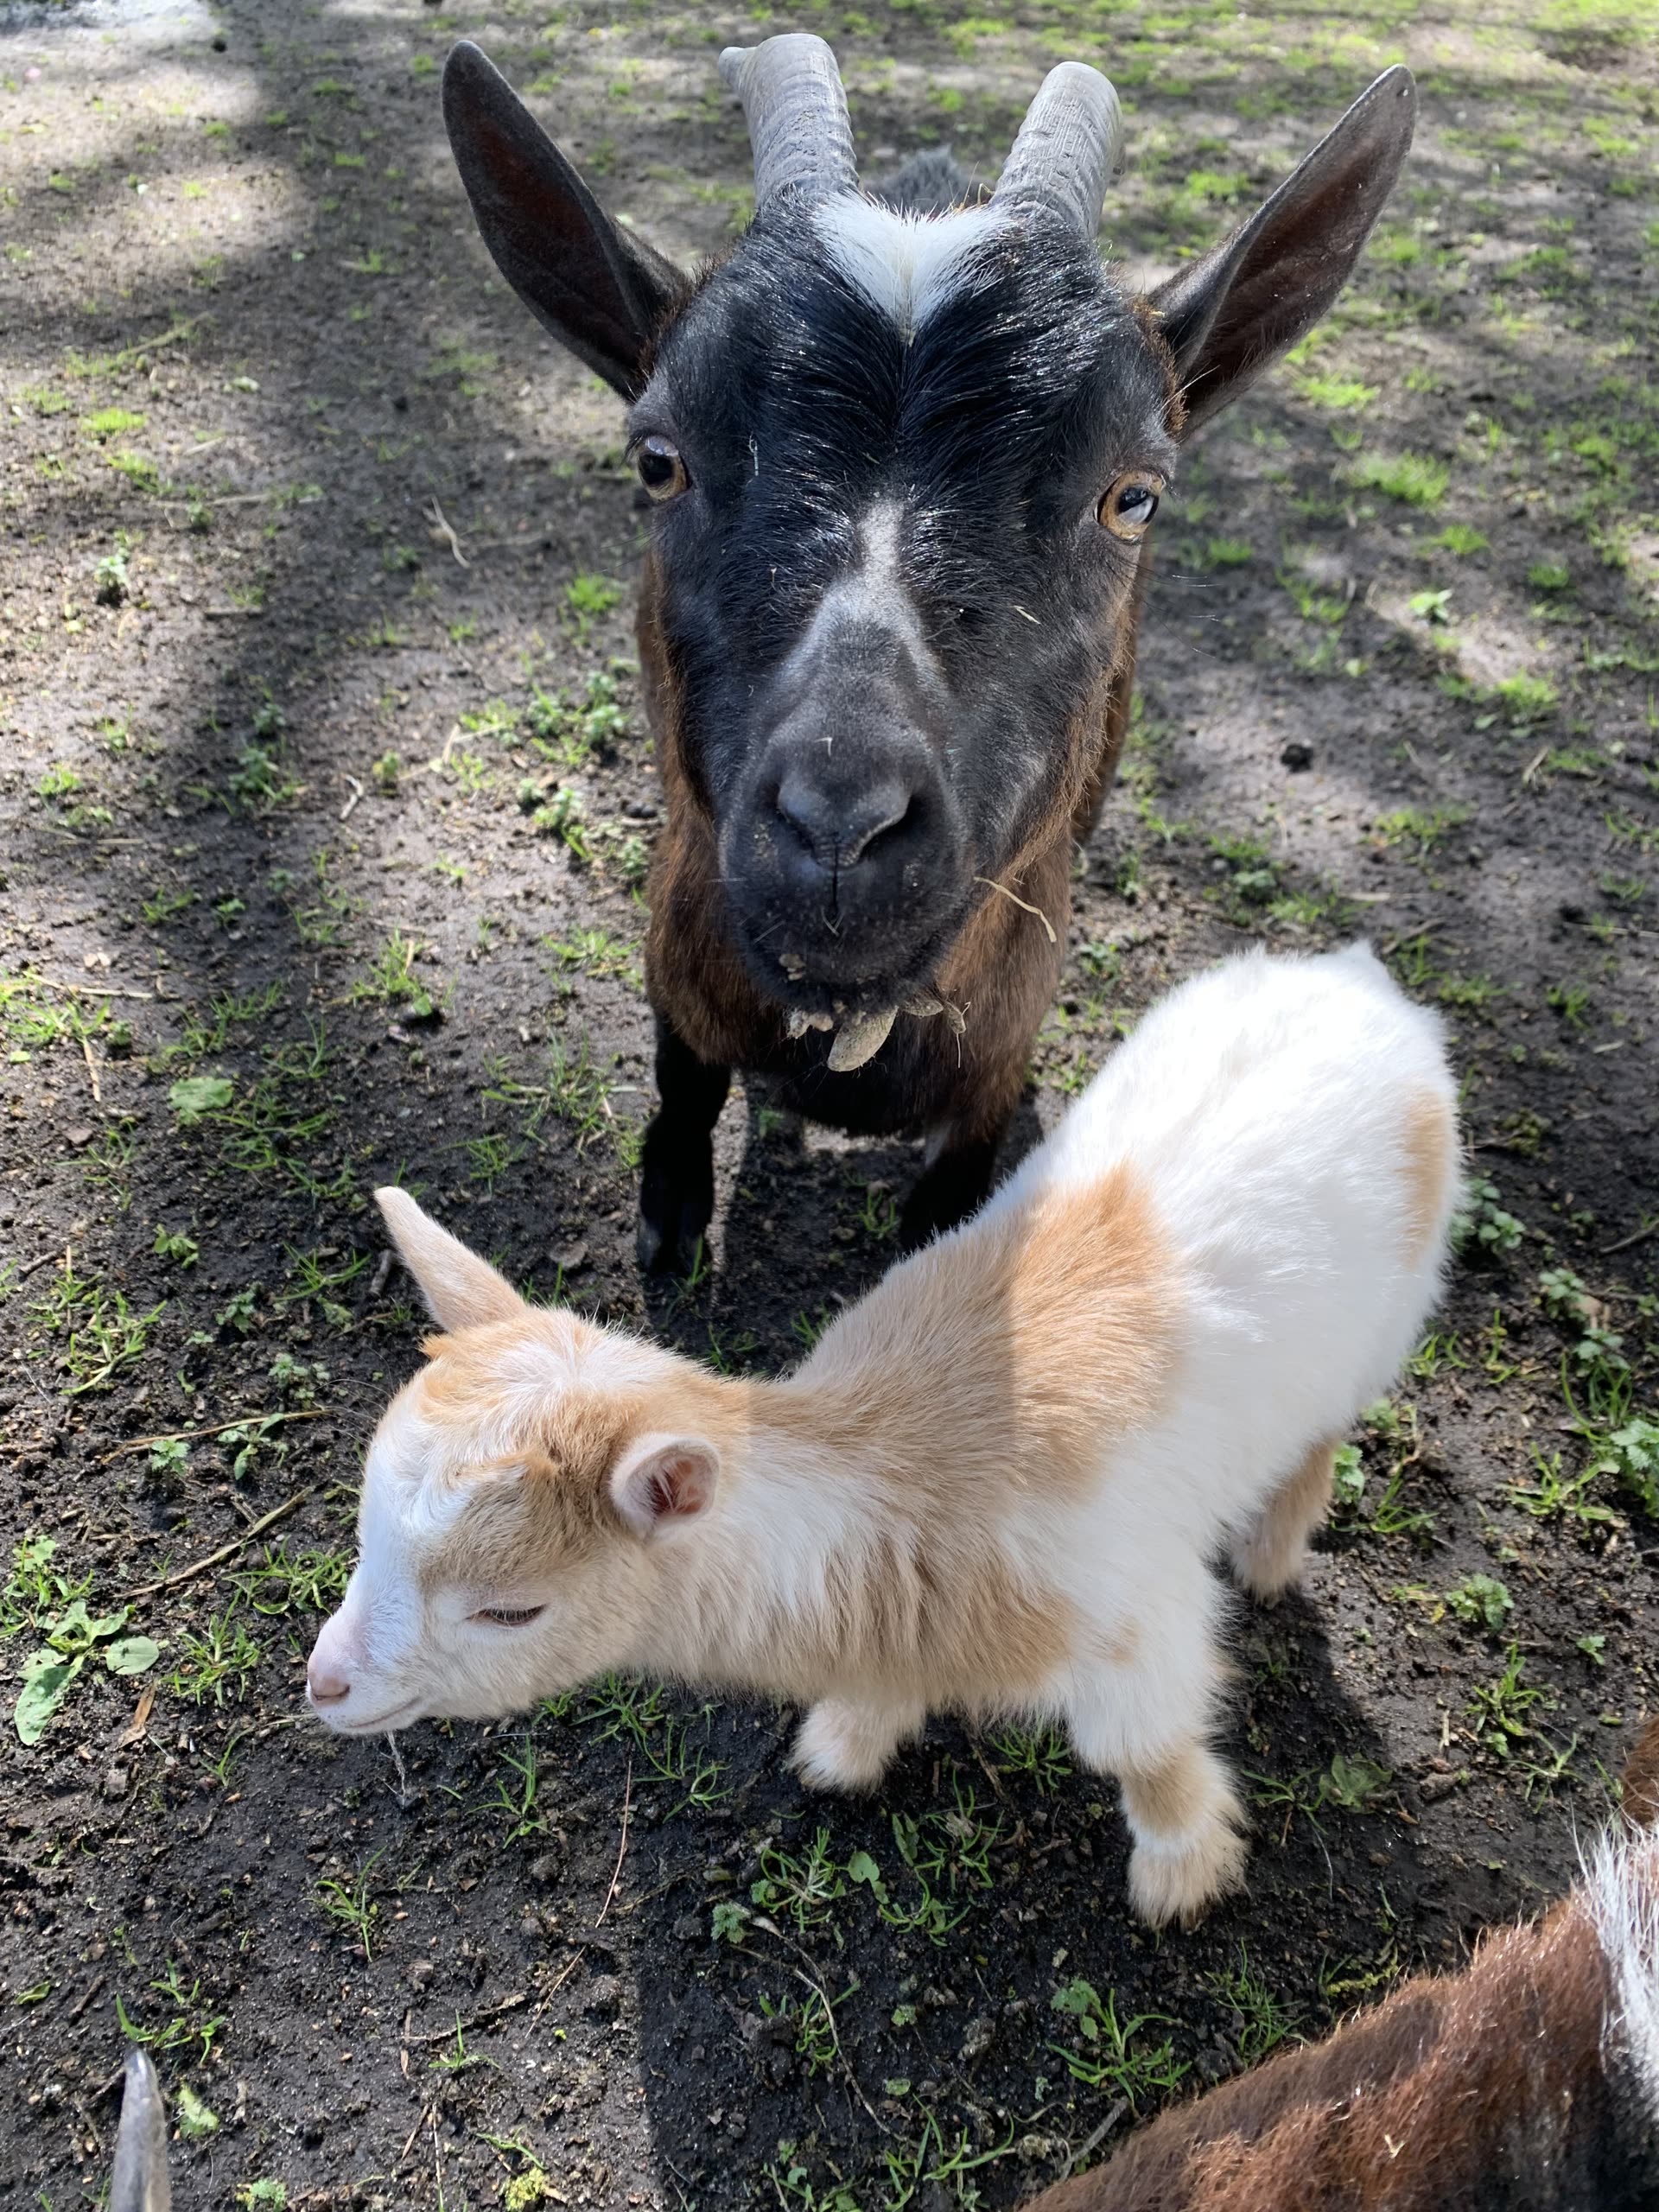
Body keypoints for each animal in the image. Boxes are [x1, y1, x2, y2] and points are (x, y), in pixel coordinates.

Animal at [308, 944, 1456, 1927]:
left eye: (512, 1610)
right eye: (366, 1529)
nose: (325, 1685)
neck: (902, 1489)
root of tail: (1356, 977)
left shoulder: (1140, 1630)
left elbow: (1145, 1747)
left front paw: (1183, 1875)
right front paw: (844, 1747)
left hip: (1386, 1324)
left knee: (1322, 1435)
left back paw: (1269, 1556)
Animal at [441, 35, 1418, 1269]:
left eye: (1133, 496)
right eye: (658, 459)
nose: (839, 824)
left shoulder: (999, 1053)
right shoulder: (679, 960)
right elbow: (682, 1091)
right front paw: (669, 1224)